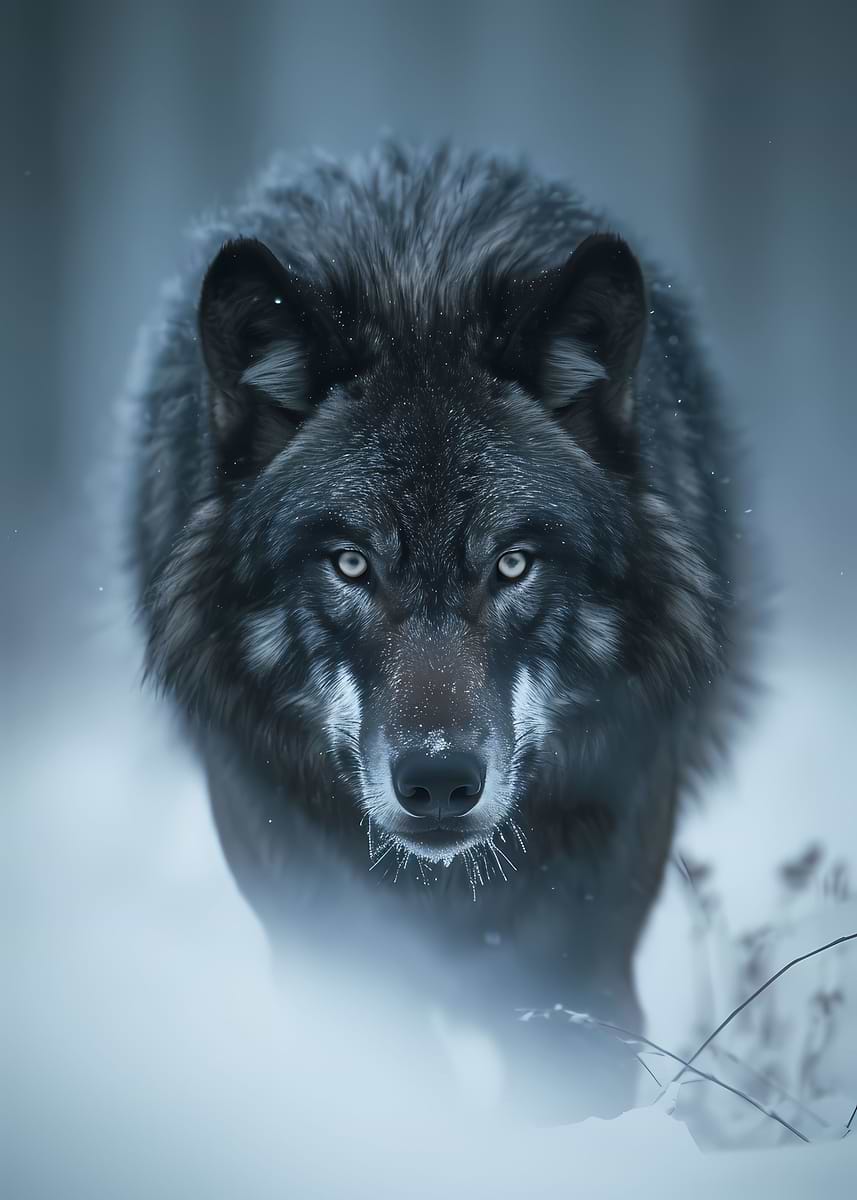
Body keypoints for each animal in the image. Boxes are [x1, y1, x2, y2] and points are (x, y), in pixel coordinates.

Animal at [126, 140, 757, 1119]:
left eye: (512, 564)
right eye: (351, 564)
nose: (437, 784)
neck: (416, 273)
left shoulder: (581, 970)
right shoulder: (327, 949)